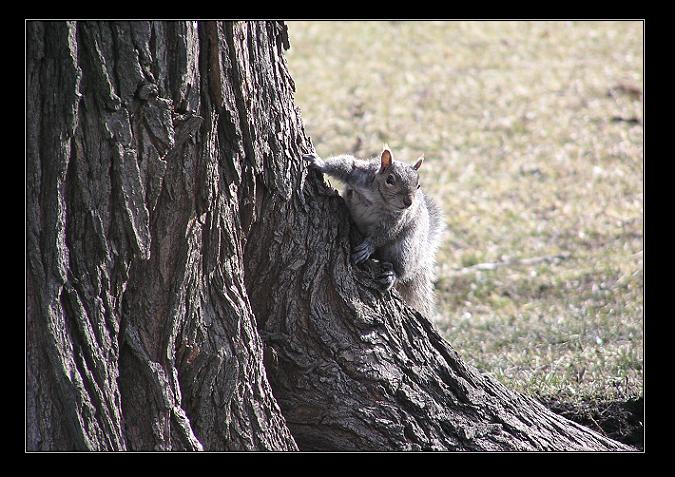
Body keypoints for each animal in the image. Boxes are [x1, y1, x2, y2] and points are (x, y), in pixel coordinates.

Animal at [304, 145, 444, 316]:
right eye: (390, 180)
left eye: (418, 186)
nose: (408, 202)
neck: (380, 200)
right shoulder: (360, 175)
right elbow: (345, 165)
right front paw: (319, 162)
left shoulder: (395, 221)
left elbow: (384, 234)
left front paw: (368, 247)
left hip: (405, 248)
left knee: (402, 269)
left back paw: (392, 275)